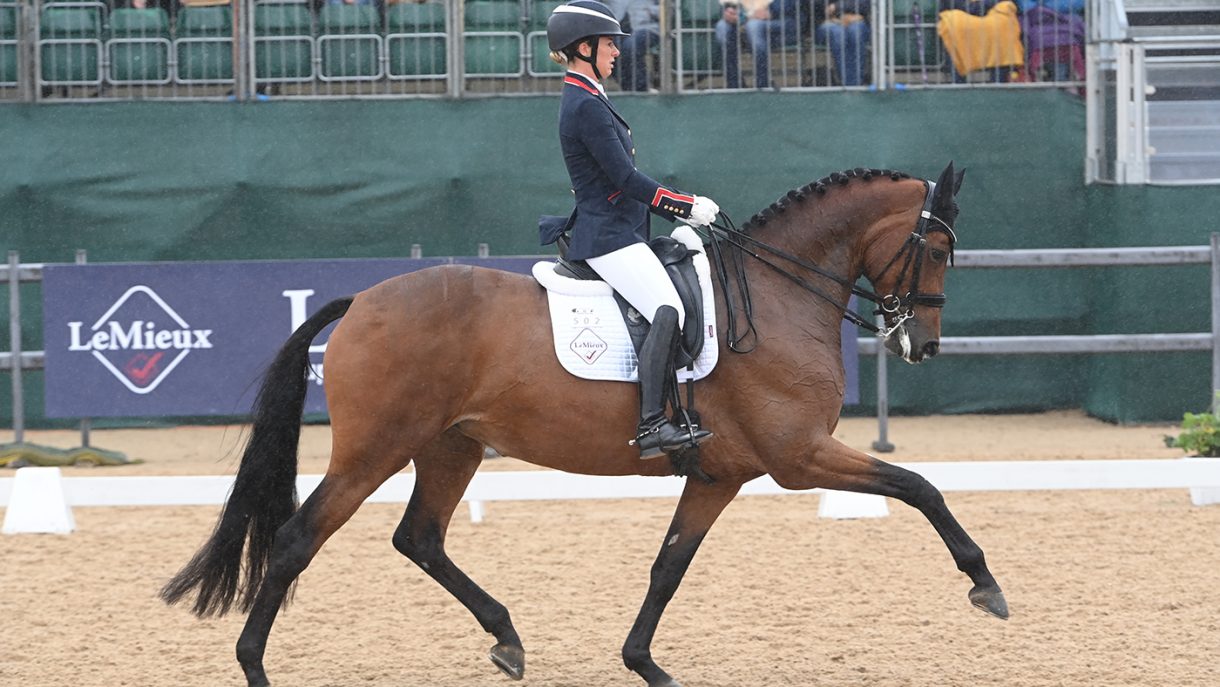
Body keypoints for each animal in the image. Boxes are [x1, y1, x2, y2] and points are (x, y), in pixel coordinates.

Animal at [161, 162, 1008, 687]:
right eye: (937, 247)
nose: (921, 344)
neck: (777, 294)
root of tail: (363, 299)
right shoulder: (798, 456)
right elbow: (920, 486)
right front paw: (986, 585)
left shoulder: (720, 474)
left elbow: (668, 566)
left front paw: (645, 662)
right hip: (376, 448)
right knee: (298, 538)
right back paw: (254, 663)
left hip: (451, 445)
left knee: (420, 537)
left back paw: (506, 637)